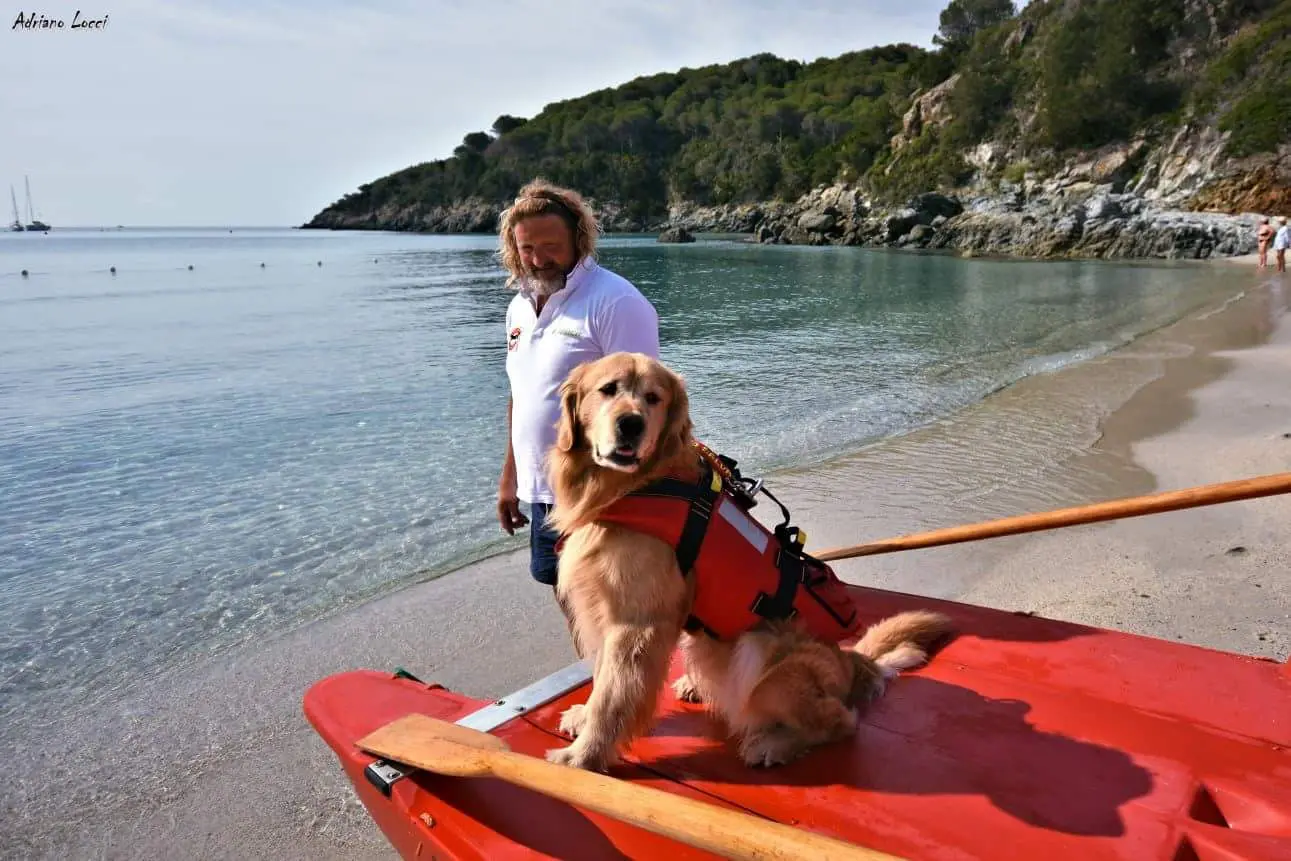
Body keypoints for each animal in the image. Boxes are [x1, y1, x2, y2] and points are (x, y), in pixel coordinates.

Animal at [539, 353, 955, 769]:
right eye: (608, 389)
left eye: (653, 398)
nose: (631, 424)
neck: (633, 485)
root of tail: (851, 663)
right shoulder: (603, 605)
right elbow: (601, 677)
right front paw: (584, 720)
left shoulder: (637, 623)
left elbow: (612, 694)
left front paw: (584, 756)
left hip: (765, 652)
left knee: (842, 721)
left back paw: (773, 743)